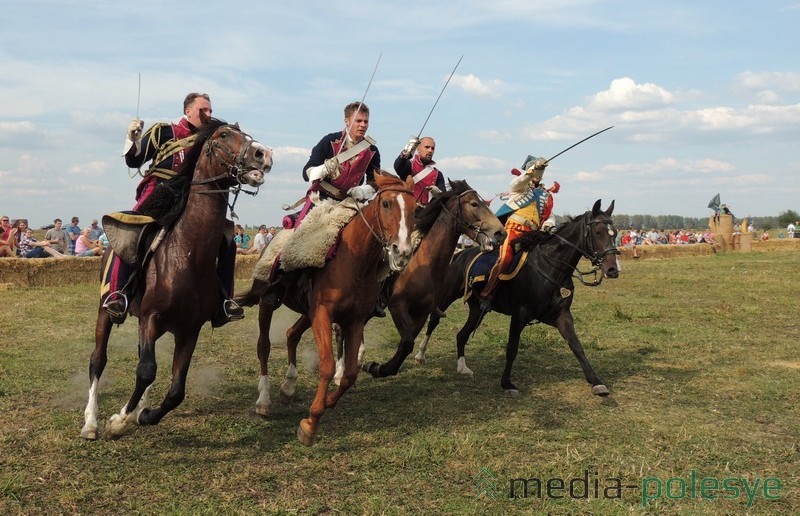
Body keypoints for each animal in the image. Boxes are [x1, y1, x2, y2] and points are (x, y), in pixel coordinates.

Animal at [81, 121, 274, 440]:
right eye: (223, 135)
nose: (264, 155)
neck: (186, 254)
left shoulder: (189, 330)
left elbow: (175, 390)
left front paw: (144, 415)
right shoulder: (151, 317)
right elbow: (146, 370)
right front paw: (118, 419)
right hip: (105, 312)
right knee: (99, 359)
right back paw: (91, 422)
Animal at [238, 171, 416, 446]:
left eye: (415, 208)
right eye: (386, 204)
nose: (402, 251)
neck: (354, 261)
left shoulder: (353, 321)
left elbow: (350, 373)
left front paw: (329, 402)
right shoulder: (323, 313)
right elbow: (328, 365)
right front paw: (311, 423)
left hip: (306, 312)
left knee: (291, 334)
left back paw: (288, 387)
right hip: (267, 303)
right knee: (264, 347)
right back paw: (264, 400)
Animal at [360, 181, 504, 378]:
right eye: (474, 204)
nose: (500, 232)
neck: (425, 263)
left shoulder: (421, 313)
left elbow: (407, 343)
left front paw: (379, 367)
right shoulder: (397, 306)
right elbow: (407, 342)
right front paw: (376, 367)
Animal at [418, 200, 620, 398]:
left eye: (615, 233)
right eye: (598, 232)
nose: (612, 270)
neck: (550, 267)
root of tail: (460, 254)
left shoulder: (562, 315)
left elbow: (576, 346)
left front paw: (596, 381)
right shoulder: (520, 315)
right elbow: (512, 348)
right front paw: (507, 383)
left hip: (477, 309)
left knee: (462, 334)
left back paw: (462, 367)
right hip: (446, 297)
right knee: (434, 320)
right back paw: (420, 355)